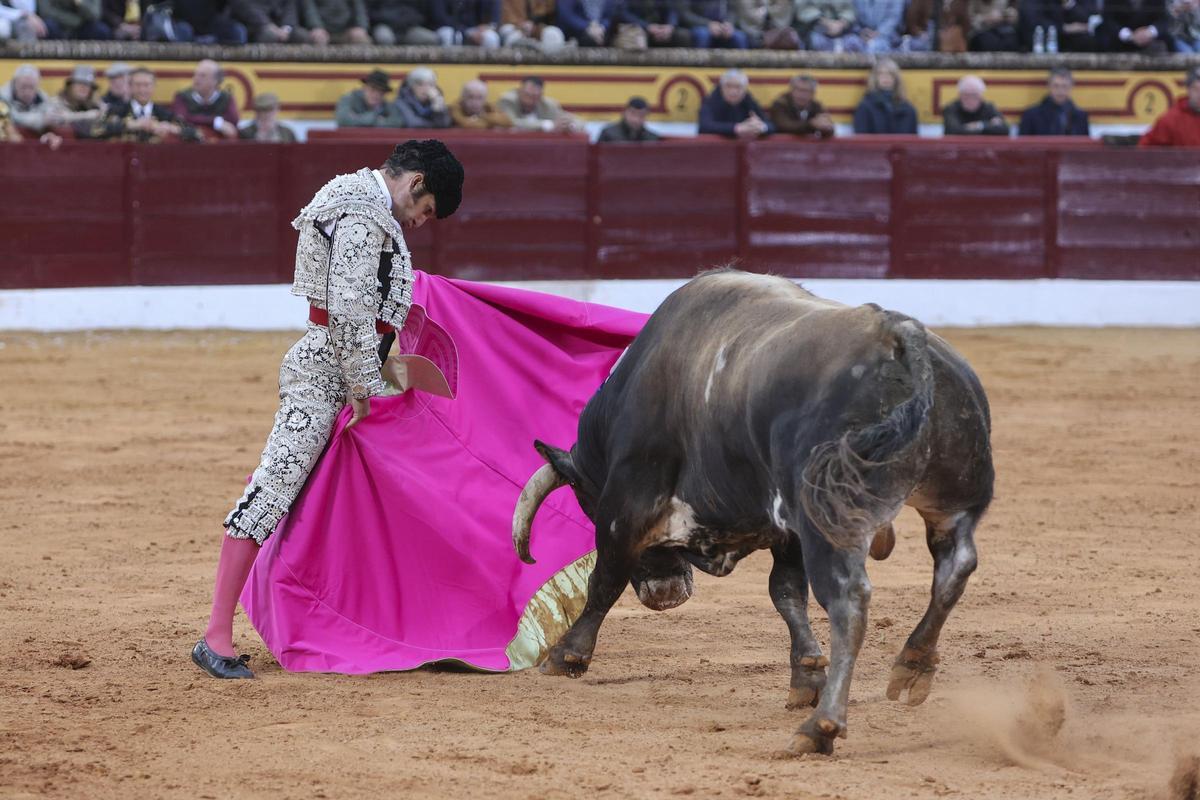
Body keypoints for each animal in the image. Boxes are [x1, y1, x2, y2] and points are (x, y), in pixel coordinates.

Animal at [511, 272, 988, 753]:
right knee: (954, 570)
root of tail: (899, 336)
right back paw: (912, 666)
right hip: (950, 506)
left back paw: (821, 727)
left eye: (586, 504)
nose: (665, 594)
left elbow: (604, 582)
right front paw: (805, 675)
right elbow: (786, 593)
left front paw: (566, 656)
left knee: (850, 599)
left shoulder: (624, 508)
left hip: (831, 523)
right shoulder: (787, 532)